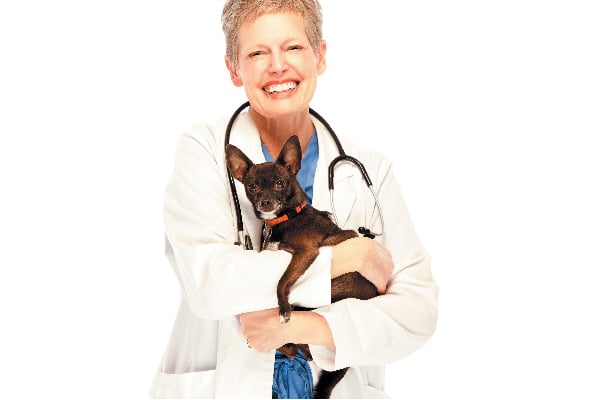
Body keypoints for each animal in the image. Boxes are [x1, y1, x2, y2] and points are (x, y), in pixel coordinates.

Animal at [227, 134, 378, 396]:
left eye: (280, 183)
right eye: (252, 186)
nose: (266, 202)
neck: (285, 218)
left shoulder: (306, 252)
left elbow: (282, 281)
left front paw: (283, 309)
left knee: (305, 351)